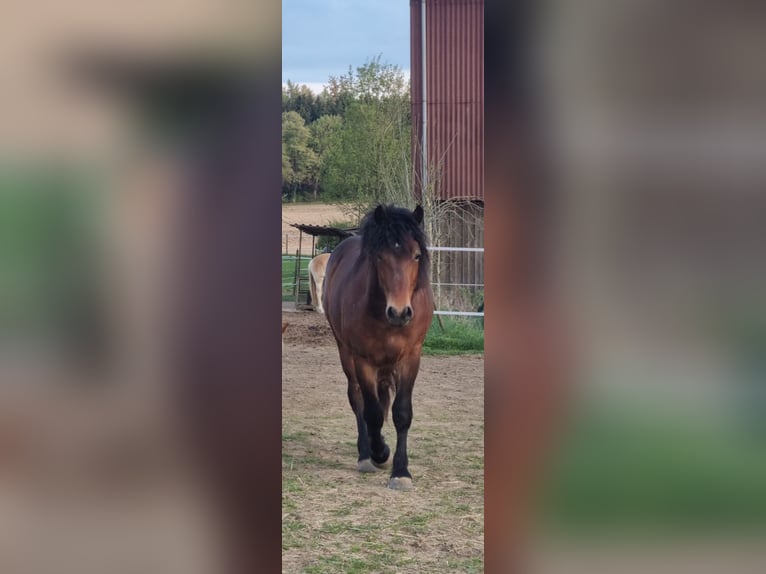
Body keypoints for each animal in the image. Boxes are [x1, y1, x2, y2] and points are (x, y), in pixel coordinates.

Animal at [322, 204, 433, 491]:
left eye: (417, 255)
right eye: (381, 257)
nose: (399, 312)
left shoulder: (411, 358)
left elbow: (402, 413)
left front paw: (401, 472)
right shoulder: (364, 360)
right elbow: (370, 412)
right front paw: (380, 452)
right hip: (346, 354)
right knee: (357, 399)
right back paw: (366, 453)